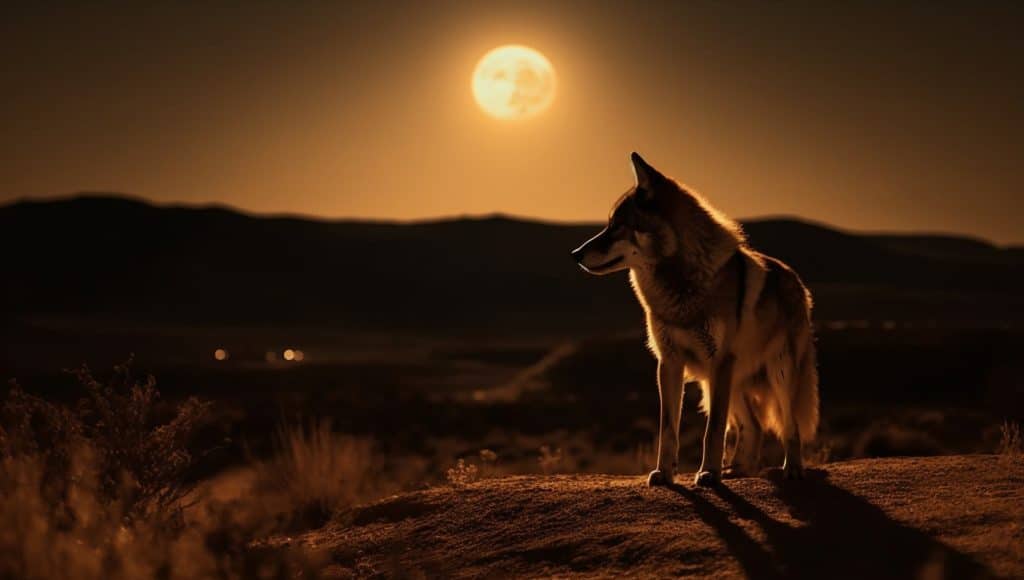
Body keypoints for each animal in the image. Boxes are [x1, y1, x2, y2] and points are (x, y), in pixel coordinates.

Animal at [571, 152, 819, 487]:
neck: (679, 289)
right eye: (609, 224)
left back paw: (790, 468)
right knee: (753, 426)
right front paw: (665, 473)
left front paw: (709, 473)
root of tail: (796, 280)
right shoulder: (669, 363)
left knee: (789, 426)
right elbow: (668, 430)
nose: (575, 253)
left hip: (775, 373)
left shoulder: (719, 362)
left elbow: (712, 431)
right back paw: (739, 469)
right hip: (720, 383)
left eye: (618, 226)